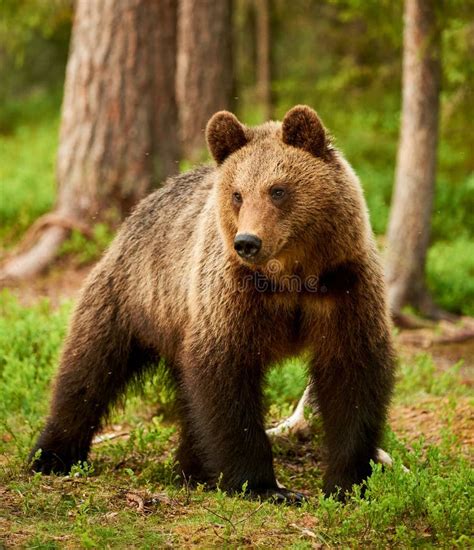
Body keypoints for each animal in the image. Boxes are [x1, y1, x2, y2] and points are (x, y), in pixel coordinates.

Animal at [29, 104, 396, 504]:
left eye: (278, 190)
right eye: (237, 194)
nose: (248, 241)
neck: (292, 276)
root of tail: (137, 210)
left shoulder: (343, 287)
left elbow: (352, 374)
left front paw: (346, 483)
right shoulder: (232, 295)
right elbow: (225, 378)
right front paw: (264, 485)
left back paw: (193, 467)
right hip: (133, 297)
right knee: (89, 369)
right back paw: (51, 455)